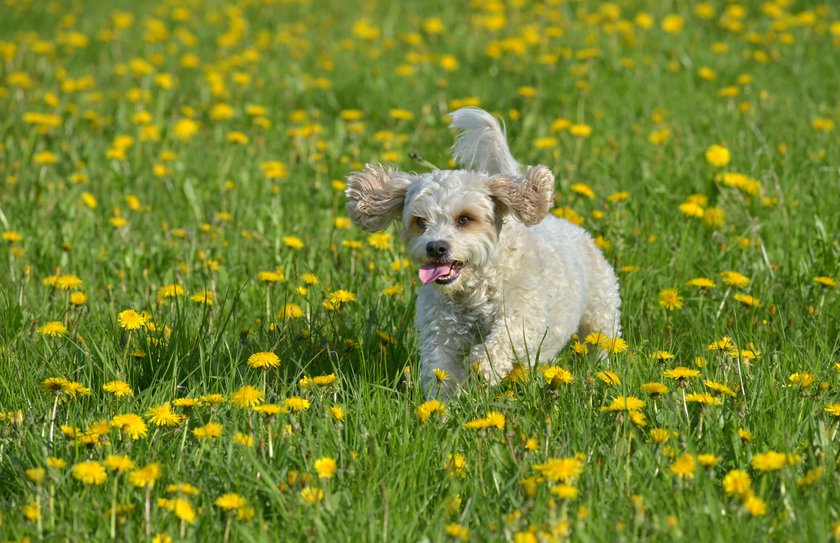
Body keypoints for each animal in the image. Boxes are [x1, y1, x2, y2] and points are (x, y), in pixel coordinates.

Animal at [344, 107, 620, 396]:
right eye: (420, 221)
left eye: (465, 219)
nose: (436, 247)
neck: (474, 290)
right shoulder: (441, 331)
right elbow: (439, 371)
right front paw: (442, 404)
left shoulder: (525, 315)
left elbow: (501, 341)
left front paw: (482, 368)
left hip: (602, 312)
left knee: (601, 340)